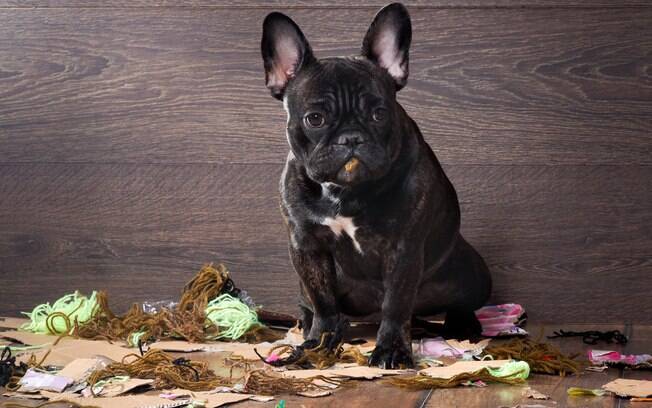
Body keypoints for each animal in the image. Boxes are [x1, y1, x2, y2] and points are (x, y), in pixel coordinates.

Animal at [260, 1, 488, 368]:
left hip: (469, 274)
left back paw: (463, 325)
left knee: (459, 302)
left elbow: (396, 304)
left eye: (379, 113)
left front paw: (392, 350)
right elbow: (324, 302)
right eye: (315, 119)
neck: (344, 192)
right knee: (311, 305)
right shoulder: (308, 247)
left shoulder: (404, 249)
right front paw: (318, 345)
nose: (351, 137)